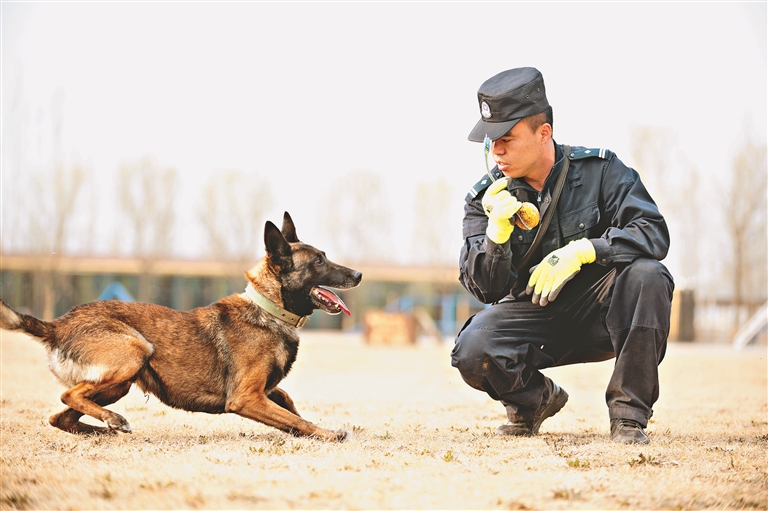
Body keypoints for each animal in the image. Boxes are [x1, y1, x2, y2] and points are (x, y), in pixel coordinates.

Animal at [0, 212, 362, 441]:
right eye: (319, 261)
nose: (358, 274)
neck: (269, 309)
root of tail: (58, 324)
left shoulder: (262, 392)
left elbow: (287, 402)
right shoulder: (246, 398)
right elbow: (295, 416)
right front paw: (327, 433)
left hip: (119, 385)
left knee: (60, 416)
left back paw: (106, 429)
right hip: (135, 353)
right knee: (68, 395)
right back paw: (114, 422)